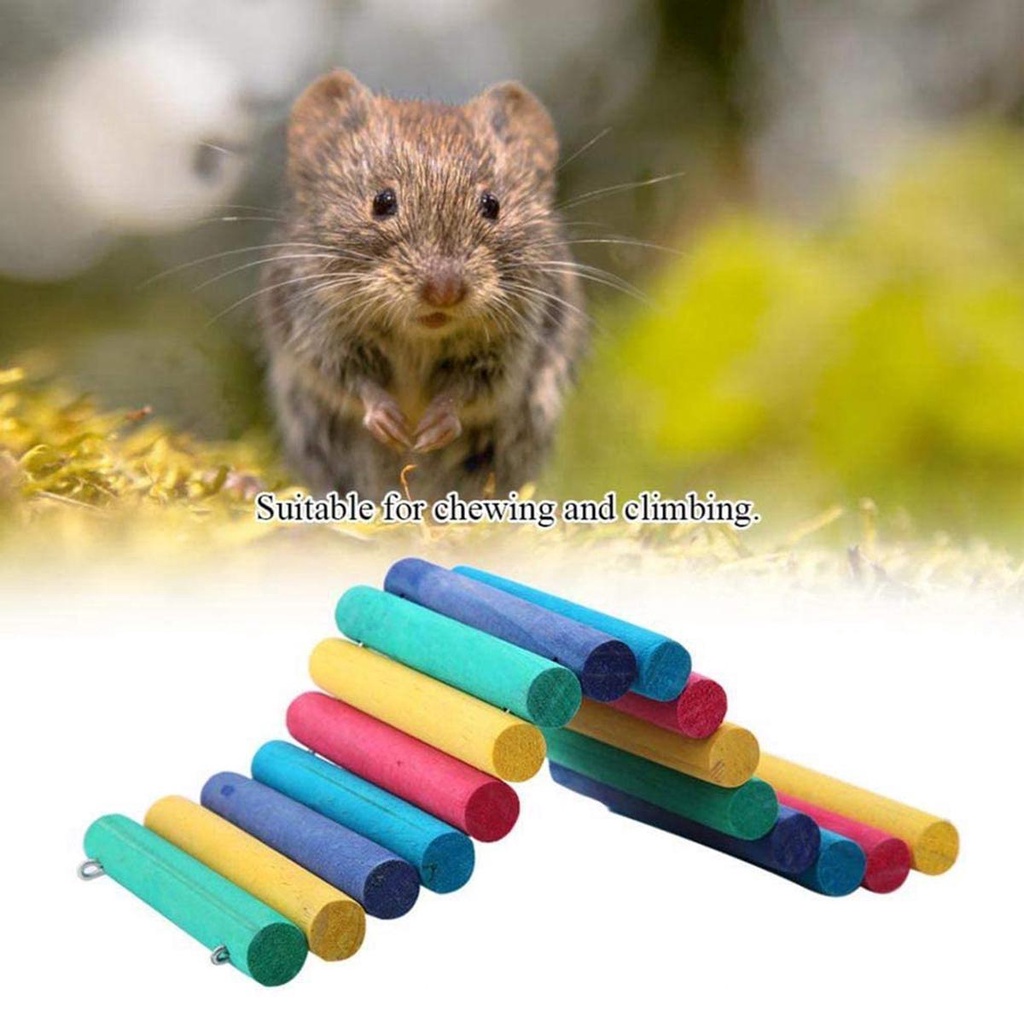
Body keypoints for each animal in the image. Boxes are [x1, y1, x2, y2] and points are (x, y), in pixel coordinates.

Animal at [258, 69, 587, 502]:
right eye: (382, 201)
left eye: (492, 205)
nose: (444, 292)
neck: (419, 336)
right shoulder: (318, 330)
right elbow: (352, 381)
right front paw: (390, 422)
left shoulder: (511, 350)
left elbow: (468, 391)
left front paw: (432, 428)